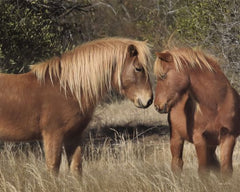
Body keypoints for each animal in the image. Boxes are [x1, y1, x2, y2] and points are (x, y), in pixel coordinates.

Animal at [0, 37, 153, 176]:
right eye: (138, 68)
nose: (149, 100)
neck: (67, 89)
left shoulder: (74, 136)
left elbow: (76, 168)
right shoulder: (53, 135)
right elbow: (53, 168)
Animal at [154, 47, 240, 175]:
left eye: (163, 76)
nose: (157, 105)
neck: (217, 103)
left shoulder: (228, 137)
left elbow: (225, 170)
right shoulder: (200, 139)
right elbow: (203, 171)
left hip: (212, 144)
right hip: (176, 137)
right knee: (177, 163)